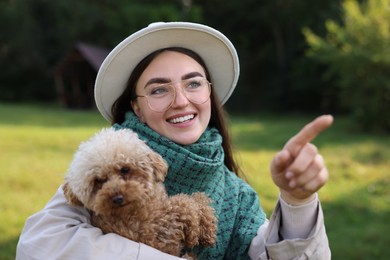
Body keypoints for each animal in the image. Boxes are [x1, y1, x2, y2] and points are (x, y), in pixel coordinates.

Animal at [62, 128, 218, 258]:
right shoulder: (160, 226)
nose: (117, 198)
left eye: (125, 169)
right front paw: (201, 233)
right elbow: (188, 202)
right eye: (99, 180)